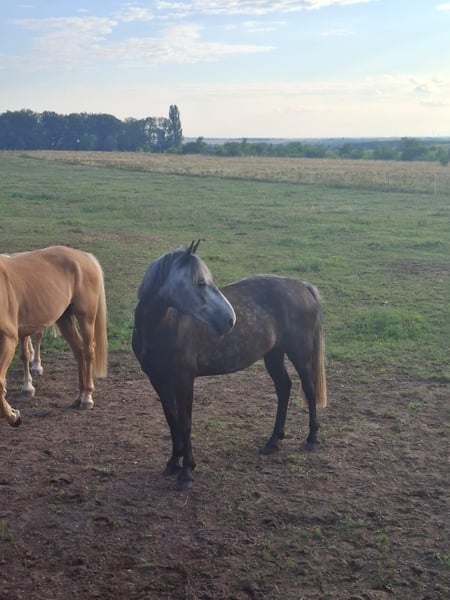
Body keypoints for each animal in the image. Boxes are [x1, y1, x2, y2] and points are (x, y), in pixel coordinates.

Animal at [0, 246, 108, 427]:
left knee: (88, 352)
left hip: (86, 318)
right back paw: (79, 396)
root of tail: (84, 256)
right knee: (78, 351)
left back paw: (87, 398)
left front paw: (13, 416)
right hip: (65, 319)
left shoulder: (8, 339)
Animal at [132, 242, 327, 491]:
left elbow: (185, 423)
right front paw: (174, 461)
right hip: (273, 354)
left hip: (300, 354)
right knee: (284, 388)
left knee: (309, 390)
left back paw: (312, 438)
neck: (163, 326)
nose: (230, 320)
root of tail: (302, 286)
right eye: (200, 283)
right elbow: (172, 419)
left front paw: (186, 472)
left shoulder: (184, 379)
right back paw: (273, 441)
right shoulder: (158, 379)